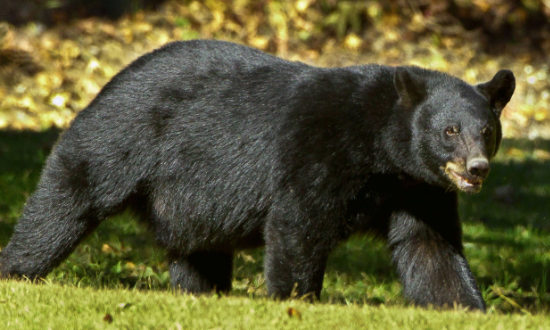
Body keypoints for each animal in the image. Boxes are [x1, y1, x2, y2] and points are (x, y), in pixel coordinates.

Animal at [1, 40, 516, 310]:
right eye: (449, 130)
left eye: (487, 131)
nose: (476, 168)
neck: (380, 148)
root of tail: (110, 80)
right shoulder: (320, 150)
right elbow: (298, 223)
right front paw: (296, 301)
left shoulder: (417, 187)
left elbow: (430, 246)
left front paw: (465, 306)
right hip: (120, 138)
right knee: (66, 200)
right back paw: (18, 269)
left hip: (189, 199)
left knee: (198, 250)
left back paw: (203, 294)